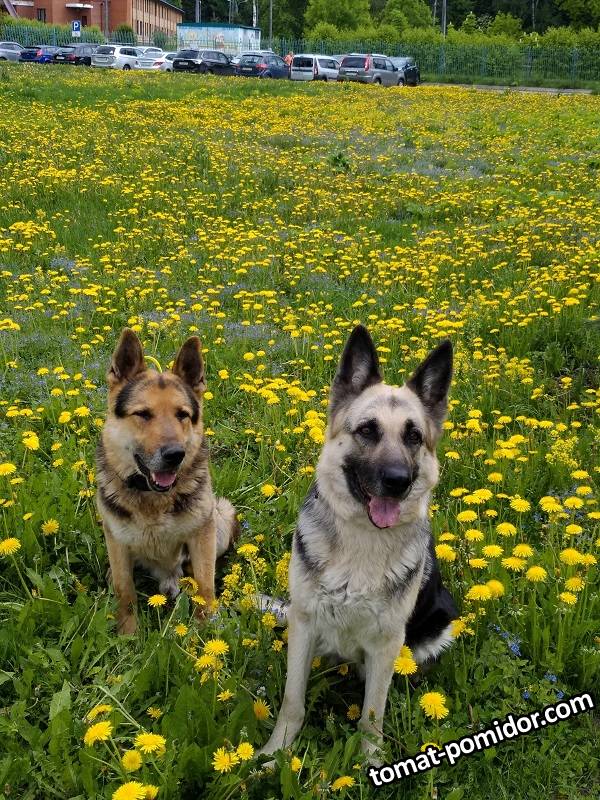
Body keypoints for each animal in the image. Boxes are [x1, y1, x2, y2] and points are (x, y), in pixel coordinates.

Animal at [96, 329, 238, 635]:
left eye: (182, 415)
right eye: (143, 414)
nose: (175, 455)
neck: (153, 498)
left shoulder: (201, 536)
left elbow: (205, 587)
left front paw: (204, 633)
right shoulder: (117, 542)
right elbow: (124, 590)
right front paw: (128, 635)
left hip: (221, 515)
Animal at [259, 325, 458, 762]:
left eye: (413, 436)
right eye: (367, 430)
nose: (398, 481)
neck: (362, 542)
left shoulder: (386, 647)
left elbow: (371, 715)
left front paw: (371, 762)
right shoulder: (304, 624)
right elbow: (292, 701)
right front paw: (274, 754)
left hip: (436, 628)